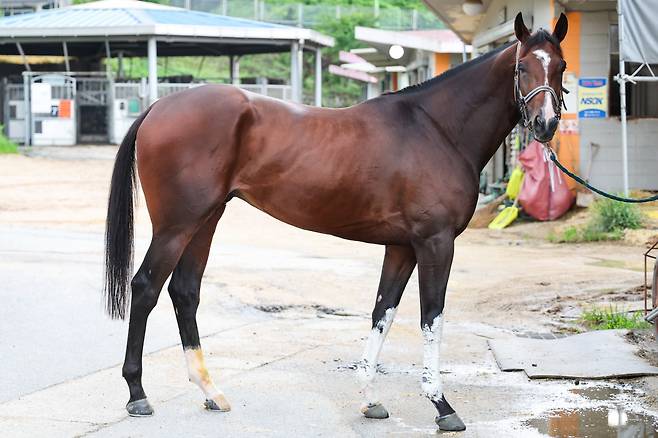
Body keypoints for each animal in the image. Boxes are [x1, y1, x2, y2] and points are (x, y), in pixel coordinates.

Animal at [105, 13, 568, 432]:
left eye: (560, 67)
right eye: (522, 67)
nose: (545, 124)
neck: (437, 129)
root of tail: (160, 105)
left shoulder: (402, 247)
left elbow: (383, 312)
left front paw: (370, 399)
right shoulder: (435, 243)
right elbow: (431, 318)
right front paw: (442, 406)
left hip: (205, 220)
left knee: (184, 292)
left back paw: (210, 391)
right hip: (176, 225)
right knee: (145, 287)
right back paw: (137, 395)